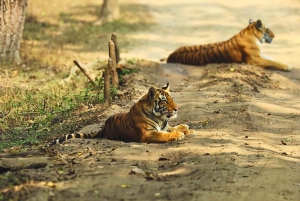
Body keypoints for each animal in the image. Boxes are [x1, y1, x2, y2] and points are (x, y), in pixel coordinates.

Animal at [50, 82, 196, 145]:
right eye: (164, 101)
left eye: (171, 98)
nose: (176, 109)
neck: (161, 118)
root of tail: (104, 127)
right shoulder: (148, 134)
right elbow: (164, 134)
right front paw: (179, 134)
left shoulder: (165, 126)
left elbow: (171, 128)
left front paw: (187, 130)